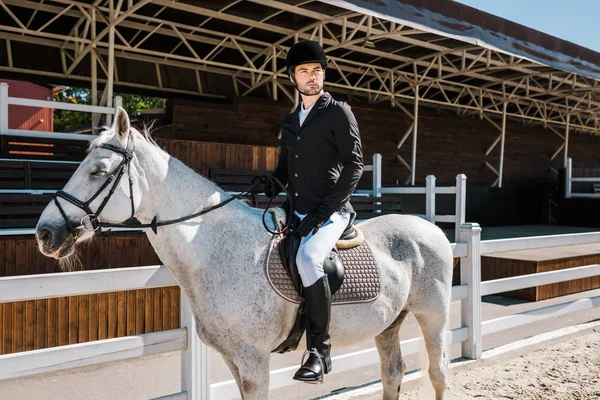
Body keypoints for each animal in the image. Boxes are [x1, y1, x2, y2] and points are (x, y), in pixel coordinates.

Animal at [35, 107, 452, 400]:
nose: (44, 233)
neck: (216, 249)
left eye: (99, 171)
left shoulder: (253, 360)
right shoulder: (232, 359)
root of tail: (429, 226)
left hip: (433, 317)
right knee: (393, 373)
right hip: (389, 323)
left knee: (438, 374)